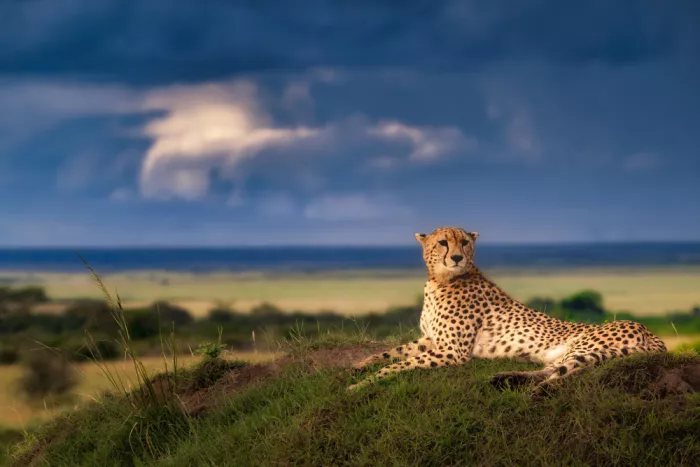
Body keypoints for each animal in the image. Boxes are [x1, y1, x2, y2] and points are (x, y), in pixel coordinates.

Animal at [347, 226, 667, 395]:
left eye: (465, 242)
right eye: (443, 242)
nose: (456, 257)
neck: (439, 280)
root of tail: (649, 331)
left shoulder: (452, 351)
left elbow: (398, 364)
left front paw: (362, 384)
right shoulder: (433, 340)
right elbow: (391, 353)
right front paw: (358, 367)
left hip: (585, 346)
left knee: (567, 372)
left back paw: (532, 389)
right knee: (553, 369)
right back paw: (506, 379)